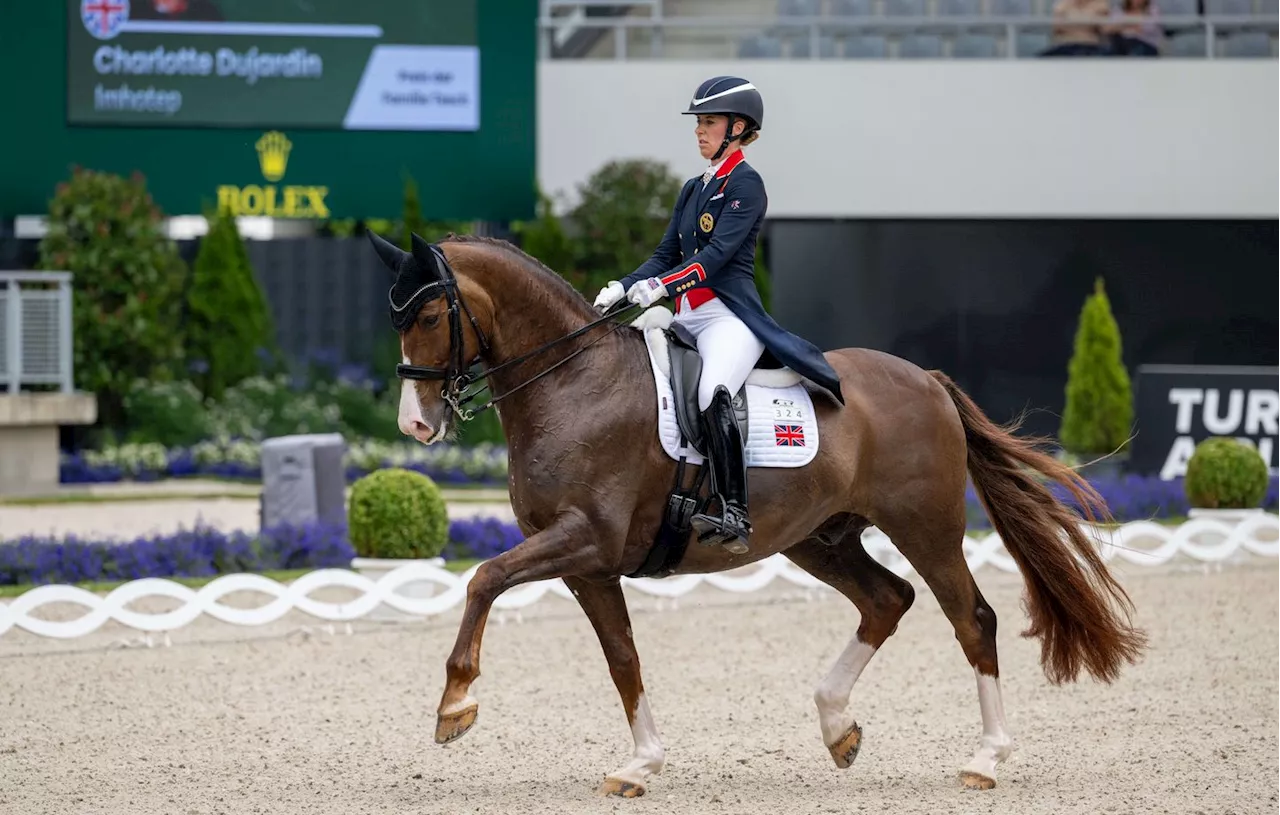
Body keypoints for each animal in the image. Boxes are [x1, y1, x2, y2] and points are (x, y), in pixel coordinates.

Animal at [368, 229, 1152, 793]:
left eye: (432, 314)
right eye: (395, 317)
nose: (415, 425)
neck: (572, 381)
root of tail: (926, 378)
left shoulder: (585, 539)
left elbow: (484, 578)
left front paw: (454, 705)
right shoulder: (588, 566)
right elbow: (622, 656)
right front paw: (642, 763)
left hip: (925, 528)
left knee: (972, 618)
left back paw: (985, 758)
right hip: (818, 538)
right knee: (887, 599)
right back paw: (838, 727)